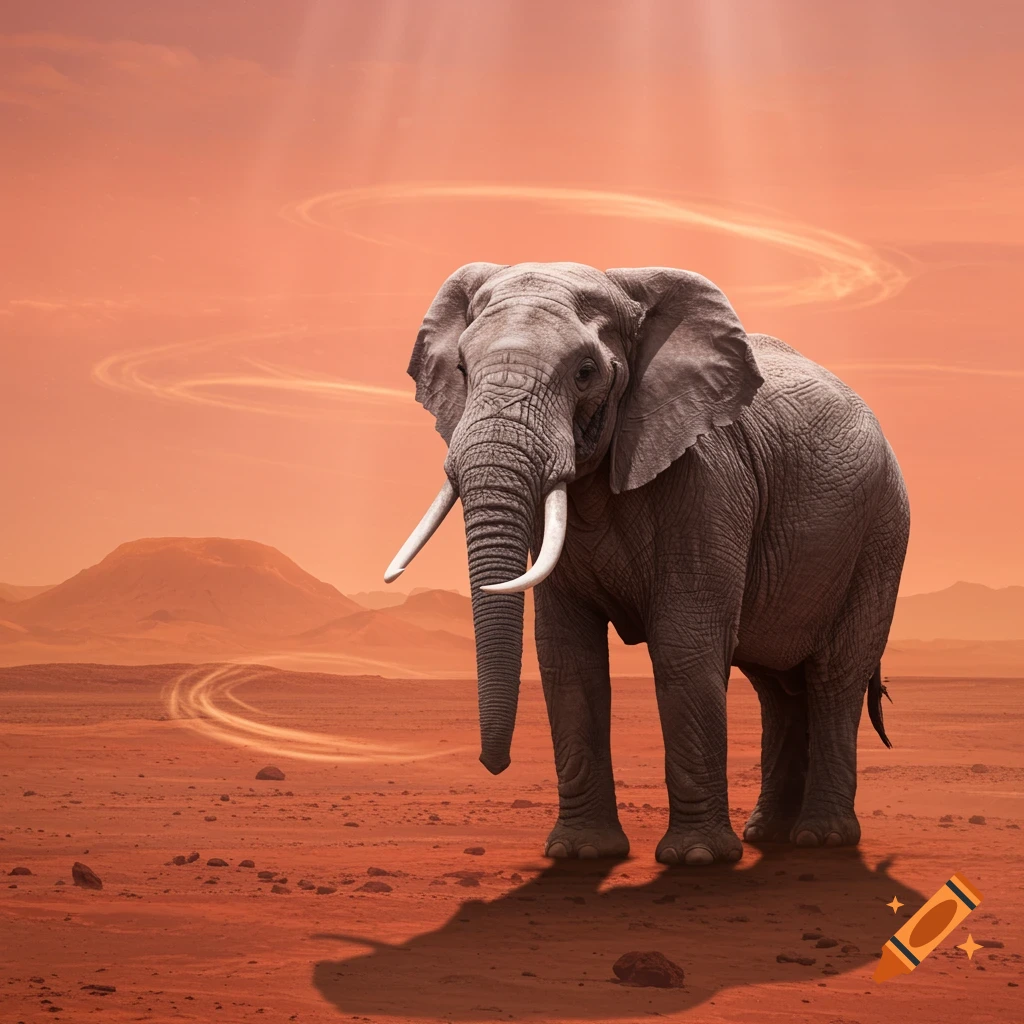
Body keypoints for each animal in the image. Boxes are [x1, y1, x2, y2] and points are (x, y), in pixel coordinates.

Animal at [384, 261, 910, 866]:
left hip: (881, 534)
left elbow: (685, 646)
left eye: (585, 372)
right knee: (776, 686)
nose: (494, 764)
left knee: (834, 676)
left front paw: (697, 860)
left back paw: (821, 840)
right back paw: (767, 836)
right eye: (463, 370)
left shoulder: (708, 482)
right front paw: (580, 853)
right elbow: (567, 655)